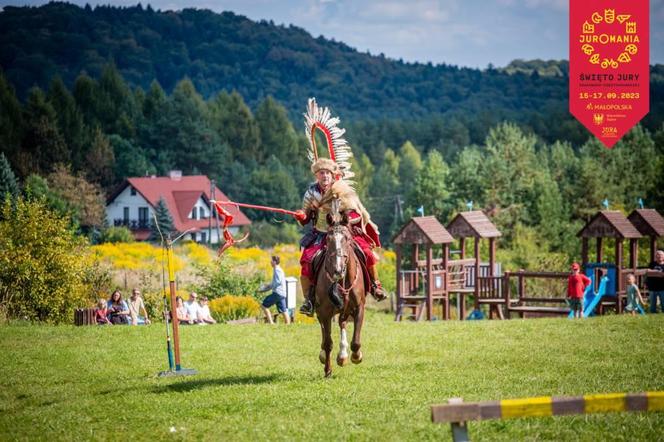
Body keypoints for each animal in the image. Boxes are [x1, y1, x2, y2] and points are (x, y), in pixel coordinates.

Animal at [314, 199, 366, 376]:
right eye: (328, 239)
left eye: (347, 238)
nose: (337, 269)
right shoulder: (324, 312)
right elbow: (328, 342)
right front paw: (327, 369)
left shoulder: (359, 307)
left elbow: (356, 341)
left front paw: (356, 356)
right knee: (325, 334)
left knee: (342, 323)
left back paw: (343, 355)